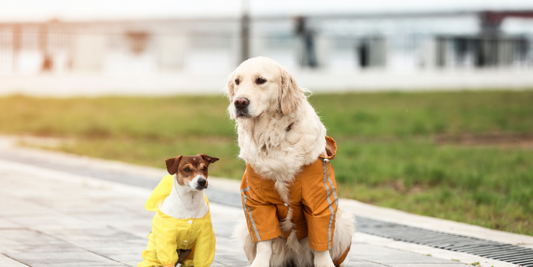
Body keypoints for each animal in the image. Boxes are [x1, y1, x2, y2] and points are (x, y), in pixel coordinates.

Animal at [223, 57, 354, 266]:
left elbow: (321, 243)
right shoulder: (256, 201)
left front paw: (324, 264)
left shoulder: (320, 200)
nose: (240, 102)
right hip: (244, 228)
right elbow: (264, 241)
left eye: (261, 80)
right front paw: (259, 263)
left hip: (344, 223)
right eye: (237, 81)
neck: (273, 137)